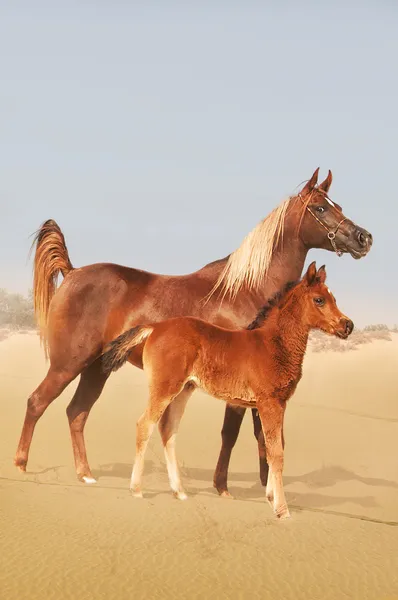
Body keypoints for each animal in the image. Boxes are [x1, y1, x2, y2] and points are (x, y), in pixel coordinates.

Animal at [102, 262, 352, 520]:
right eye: (319, 300)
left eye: (333, 298)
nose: (348, 325)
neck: (272, 345)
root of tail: (155, 327)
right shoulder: (269, 403)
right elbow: (276, 452)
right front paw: (282, 510)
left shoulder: (278, 404)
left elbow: (272, 446)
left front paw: (271, 498)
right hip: (164, 387)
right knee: (144, 425)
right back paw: (136, 489)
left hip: (184, 390)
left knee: (168, 430)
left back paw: (179, 491)